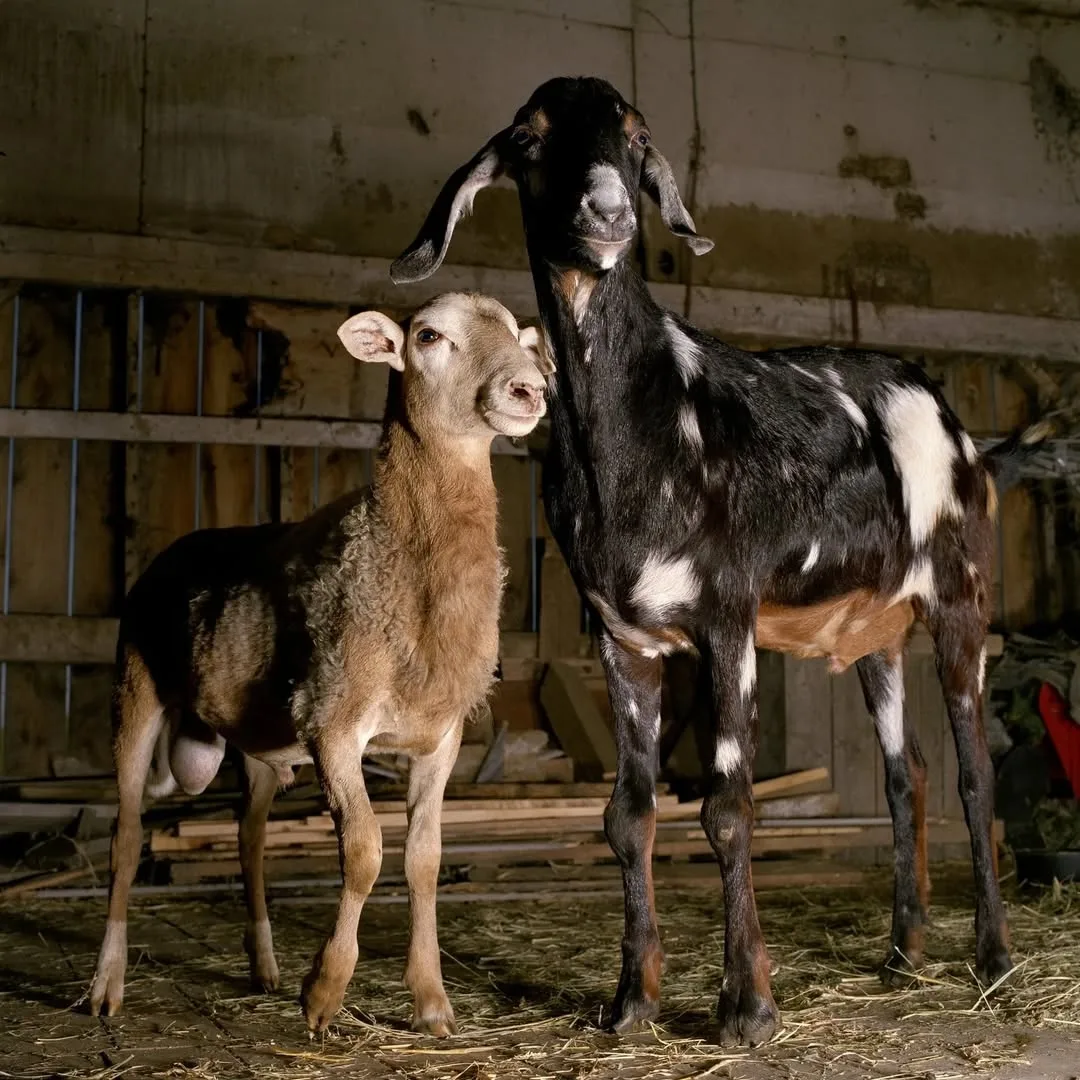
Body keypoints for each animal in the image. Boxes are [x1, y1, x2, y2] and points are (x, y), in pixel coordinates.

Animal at [88, 292, 550, 1036]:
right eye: (429, 336)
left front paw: (431, 1002)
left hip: (256, 739)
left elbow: (424, 861)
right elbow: (363, 853)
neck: (402, 556)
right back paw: (108, 984)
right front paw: (325, 992)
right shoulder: (333, 723)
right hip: (134, 690)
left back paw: (263, 964)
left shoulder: (440, 740)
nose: (530, 388)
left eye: (516, 335)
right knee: (125, 839)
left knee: (249, 840)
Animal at [389, 77, 1045, 1046]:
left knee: (973, 774)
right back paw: (904, 951)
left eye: (636, 137)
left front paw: (747, 1006)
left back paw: (994, 958)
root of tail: (963, 433)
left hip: (961, 595)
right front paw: (632, 999)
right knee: (906, 775)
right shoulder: (625, 639)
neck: (650, 423)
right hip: (880, 630)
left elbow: (730, 808)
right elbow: (627, 815)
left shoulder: (727, 621)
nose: (609, 212)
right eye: (529, 137)